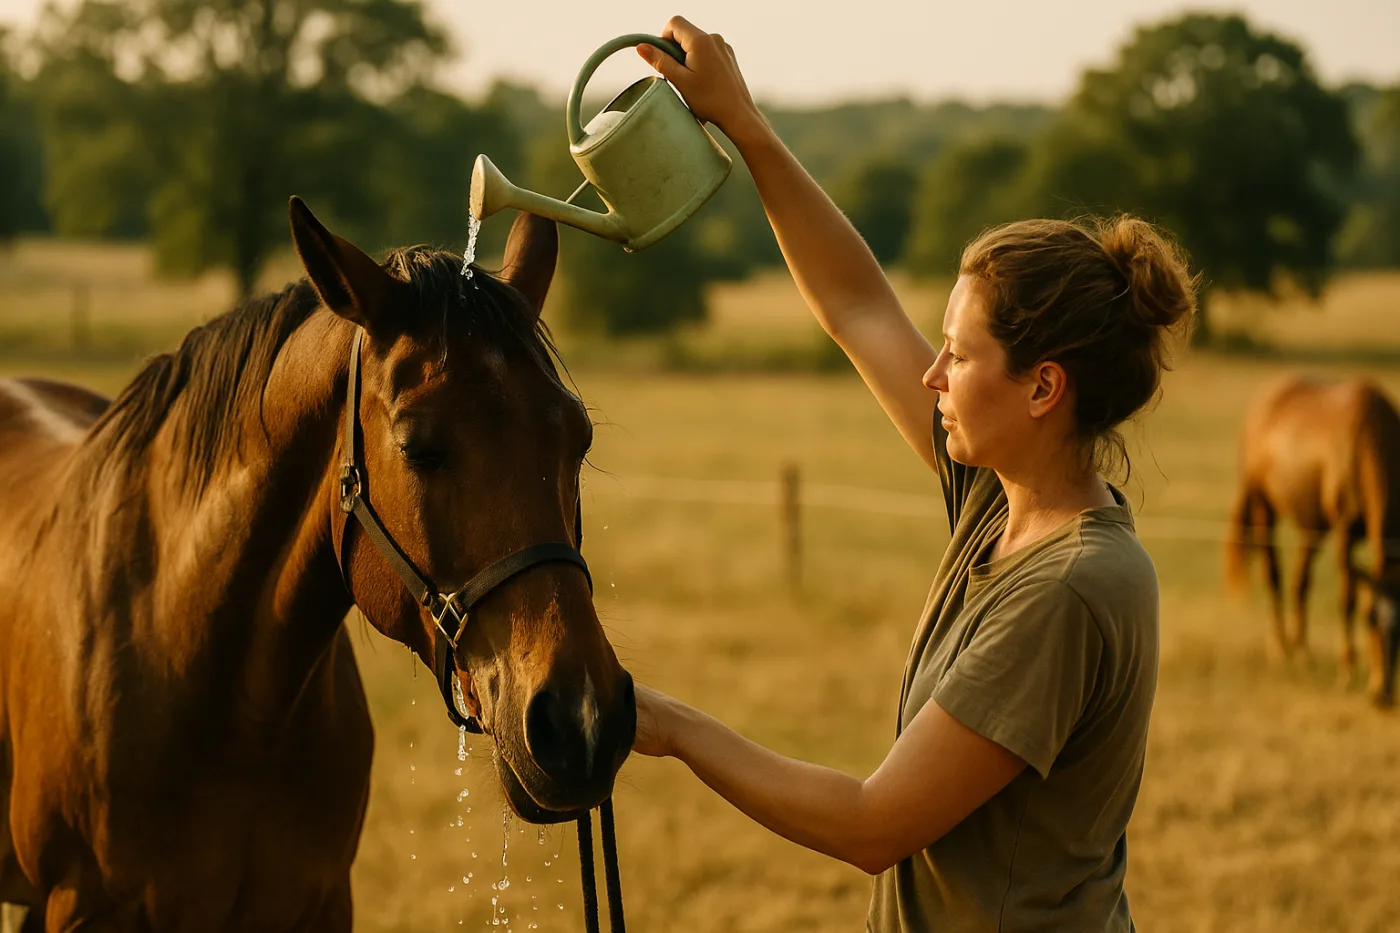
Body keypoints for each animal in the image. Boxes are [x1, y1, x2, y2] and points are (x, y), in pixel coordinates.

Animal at [1225, 374, 1400, 705]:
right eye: (1369, 619)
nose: (1382, 694)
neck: (1369, 436)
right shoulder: (1344, 530)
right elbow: (1347, 598)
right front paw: (1347, 669)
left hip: (1312, 527)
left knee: (1300, 580)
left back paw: (1302, 651)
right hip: (1263, 507)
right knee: (1274, 574)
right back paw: (1279, 648)